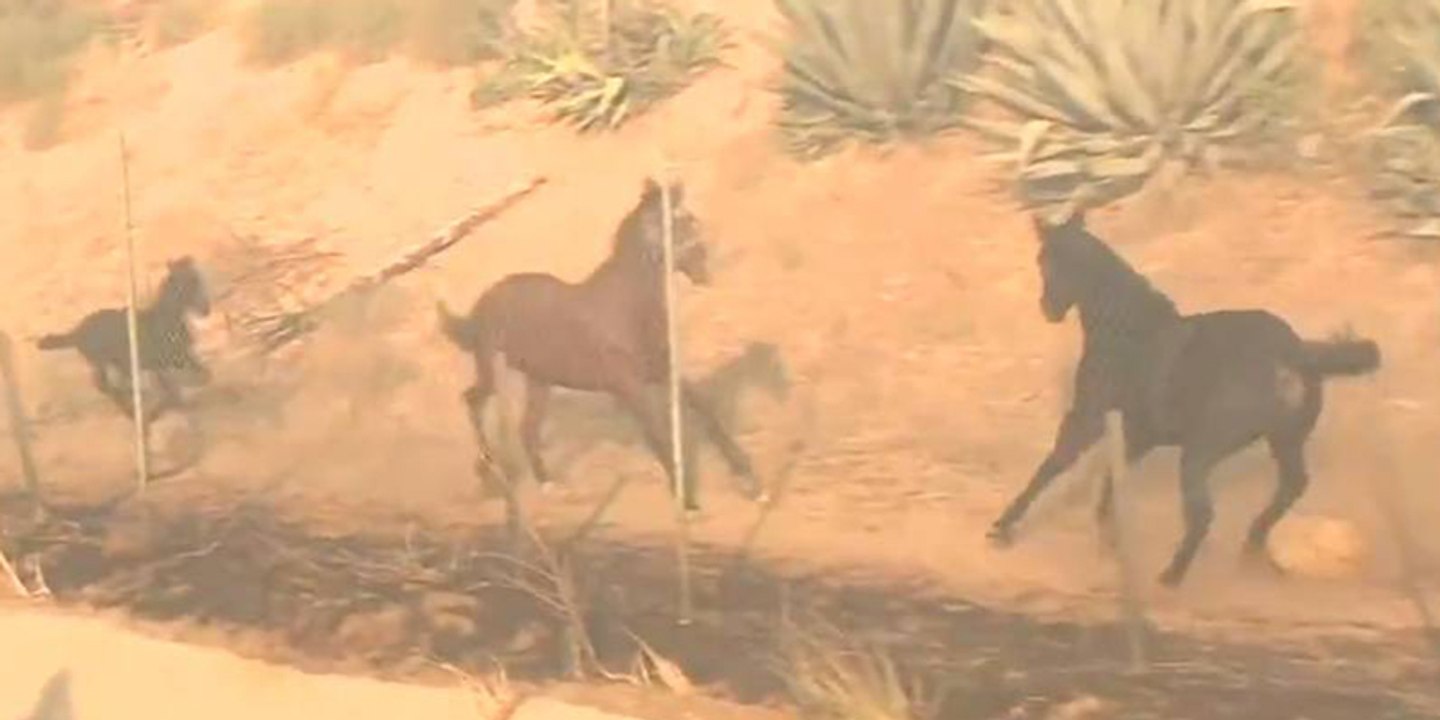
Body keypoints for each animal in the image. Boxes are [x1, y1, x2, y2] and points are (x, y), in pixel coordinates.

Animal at [36, 256, 212, 425]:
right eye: (190, 283)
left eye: (197, 279)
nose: (206, 310)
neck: (168, 318)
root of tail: (77, 331)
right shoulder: (167, 361)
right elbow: (185, 384)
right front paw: (160, 409)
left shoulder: (176, 359)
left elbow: (197, 378)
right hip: (102, 362)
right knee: (106, 387)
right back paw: (132, 408)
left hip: (114, 364)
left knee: (111, 385)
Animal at [437, 177, 765, 513]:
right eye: (674, 223)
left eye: (690, 219)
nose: (702, 264)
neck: (630, 307)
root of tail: (484, 301)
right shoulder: (628, 386)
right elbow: (657, 434)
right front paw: (687, 503)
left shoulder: (663, 371)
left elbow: (705, 408)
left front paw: (750, 483)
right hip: (492, 370)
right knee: (472, 400)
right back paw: (488, 470)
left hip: (539, 381)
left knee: (526, 430)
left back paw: (551, 485)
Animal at [986, 213, 1381, 588]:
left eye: (1047, 259)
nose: (1048, 308)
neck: (1125, 327)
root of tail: (1296, 354)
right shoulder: (1138, 433)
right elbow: (1112, 485)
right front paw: (1109, 543)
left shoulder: (1088, 416)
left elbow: (1053, 465)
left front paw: (1002, 528)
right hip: (1284, 442)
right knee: (1290, 488)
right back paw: (1252, 551)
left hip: (1201, 451)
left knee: (1204, 513)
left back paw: (1172, 576)